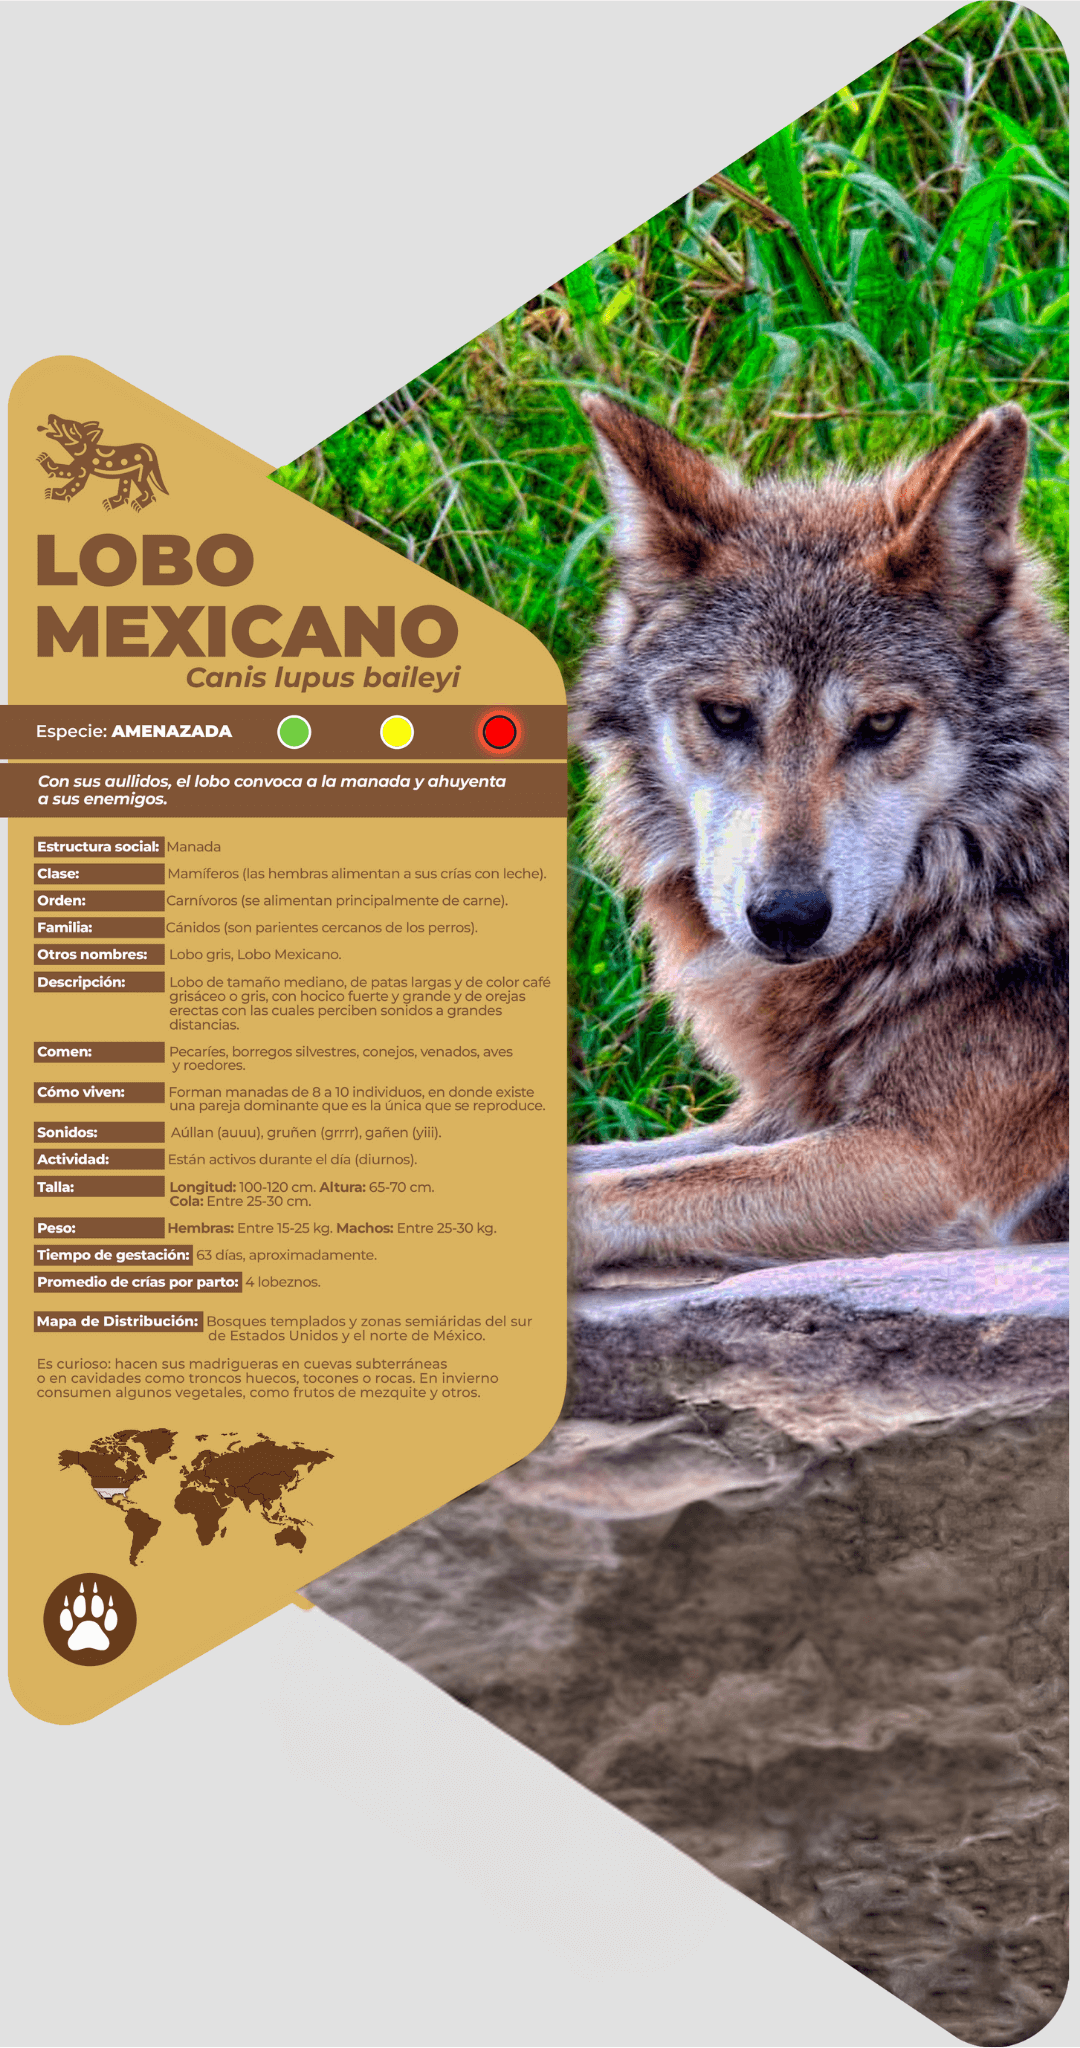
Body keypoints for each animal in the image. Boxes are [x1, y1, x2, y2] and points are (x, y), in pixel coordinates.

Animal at [569, 396, 1067, 1279]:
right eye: (727, 715)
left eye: (879, 724)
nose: (788, 920)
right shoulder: (786, 1110)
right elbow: (610, 1160)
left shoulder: (924, 1162)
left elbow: (625, 1190)